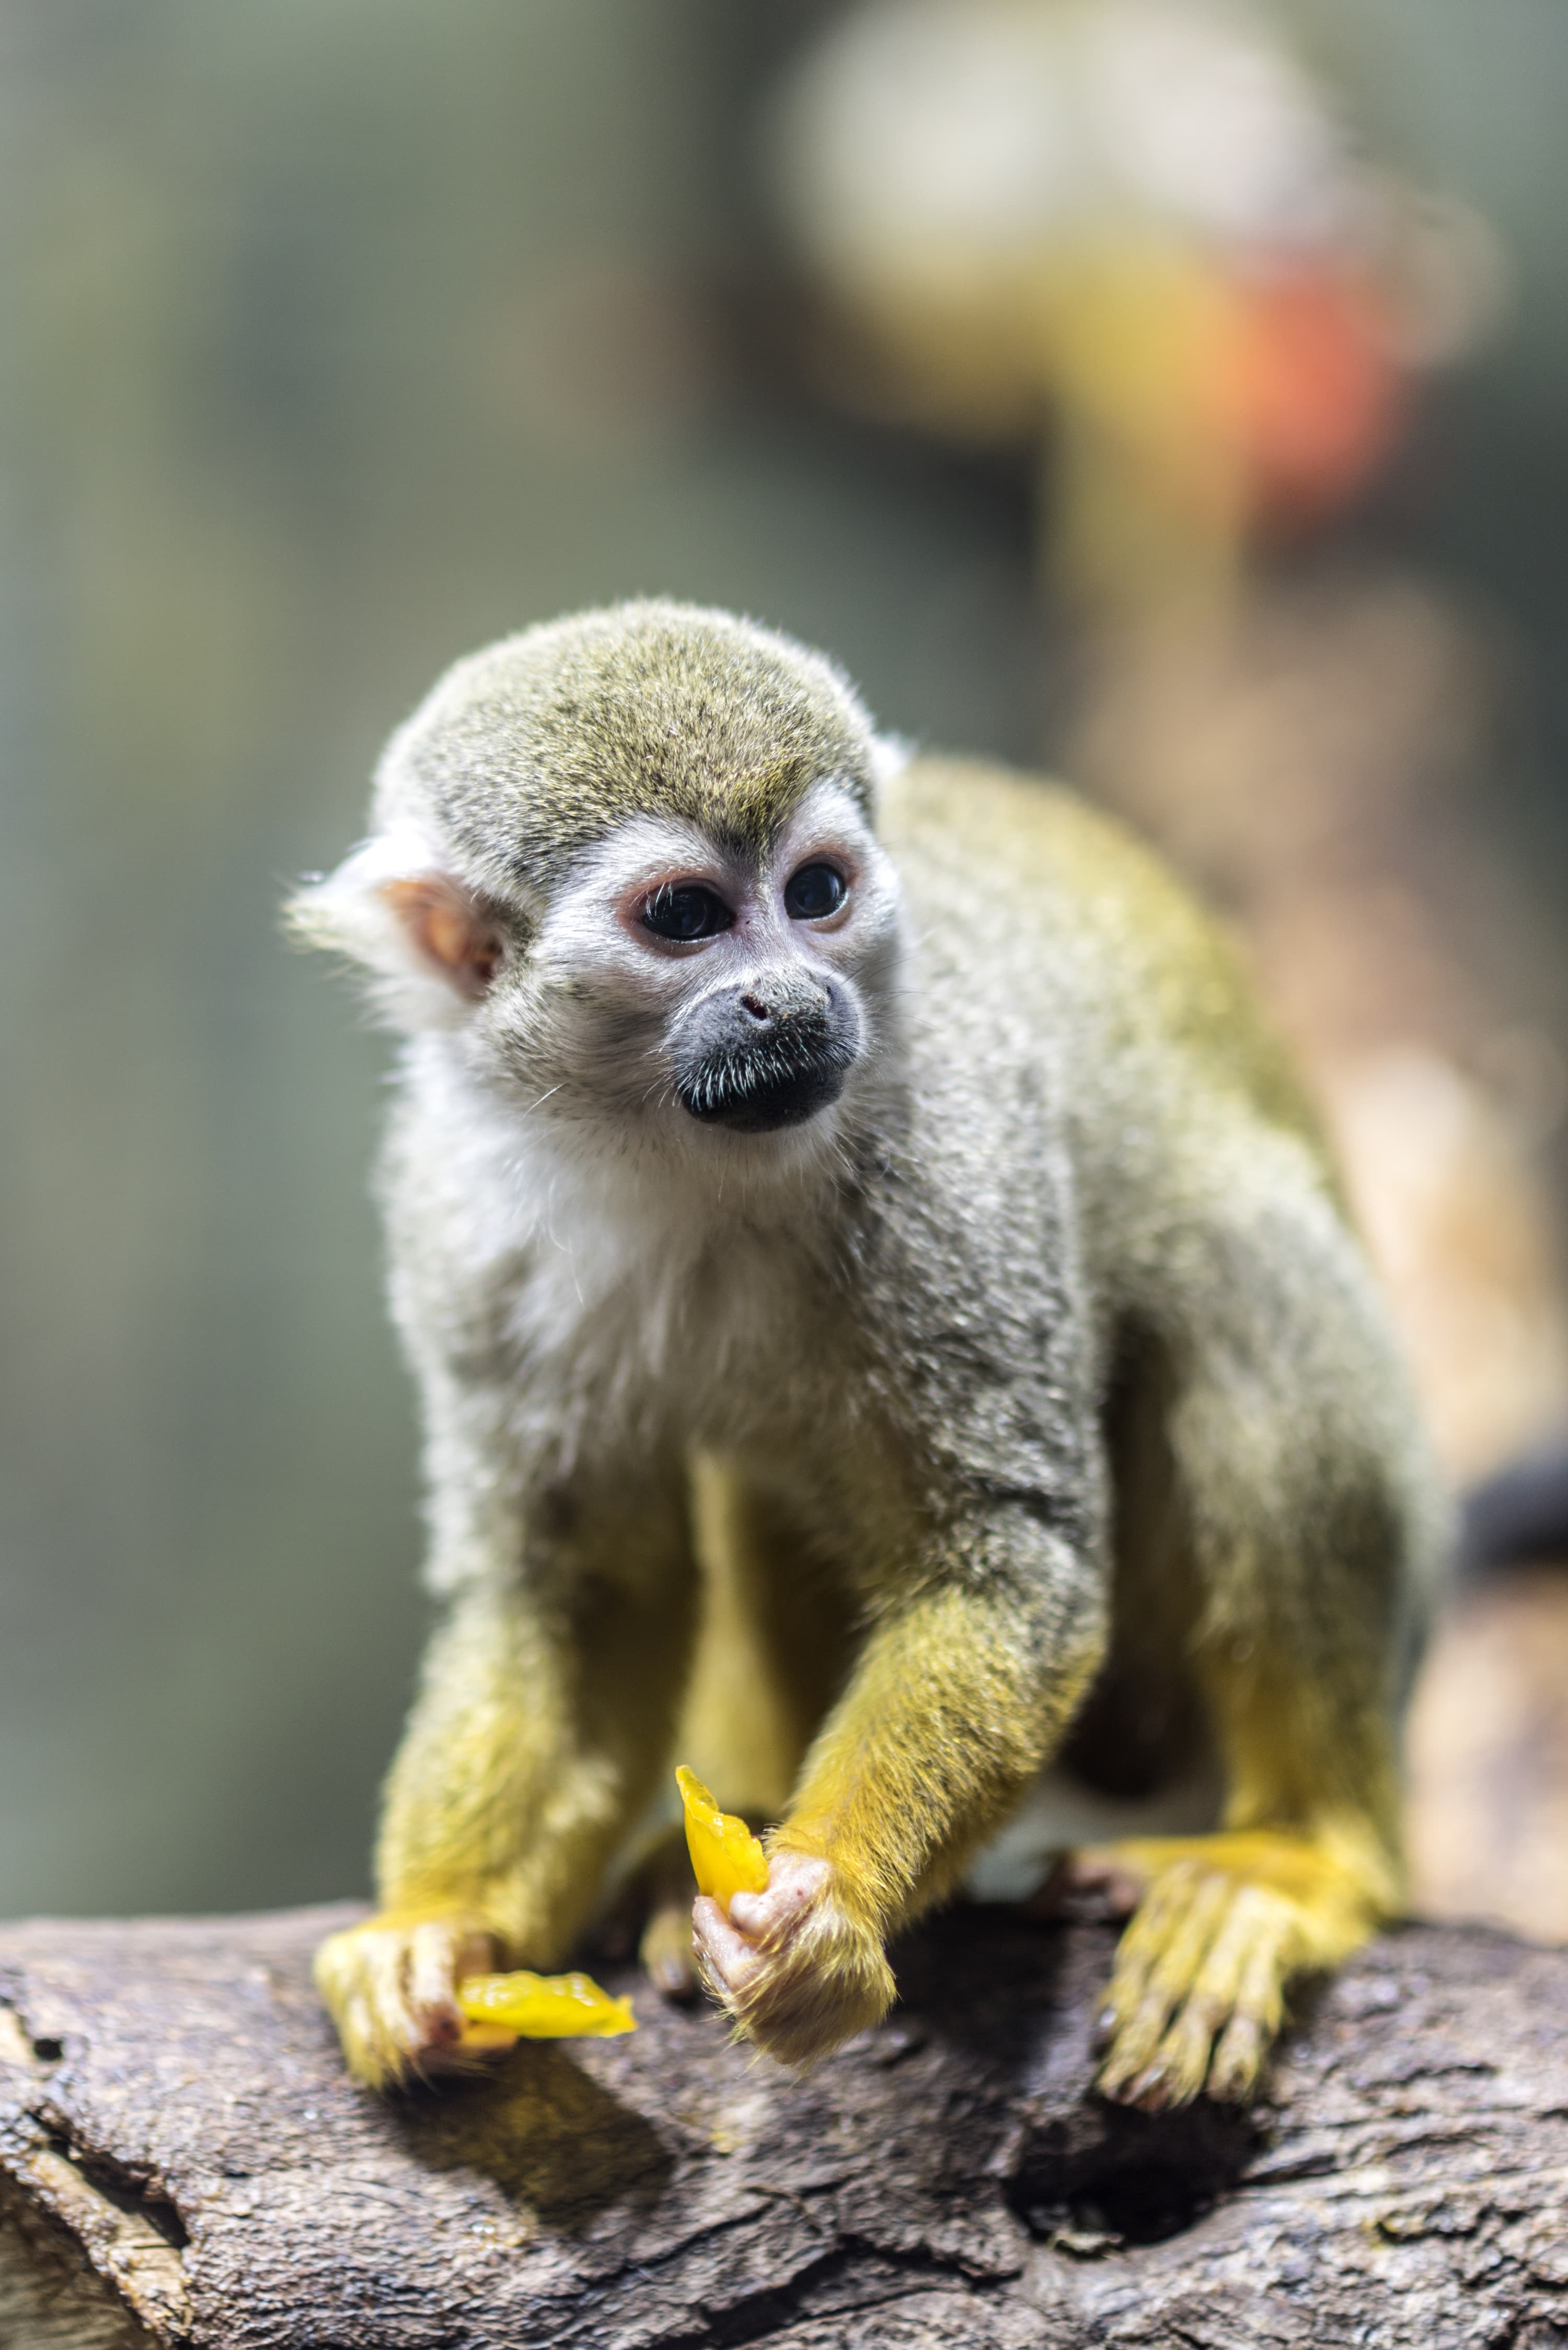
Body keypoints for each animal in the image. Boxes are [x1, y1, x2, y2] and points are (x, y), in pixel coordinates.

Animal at [291, 598, 1445, 2111]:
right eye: (684, 915)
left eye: (819, 890)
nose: (787, 997)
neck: (668, 1152)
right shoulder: (462, 1219)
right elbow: (579, 1587)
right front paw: (439, 1928)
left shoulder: (953, 1162)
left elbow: (1005, 1561)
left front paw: (827, 1911)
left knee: (1248, 1270)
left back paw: (1301, 1853)